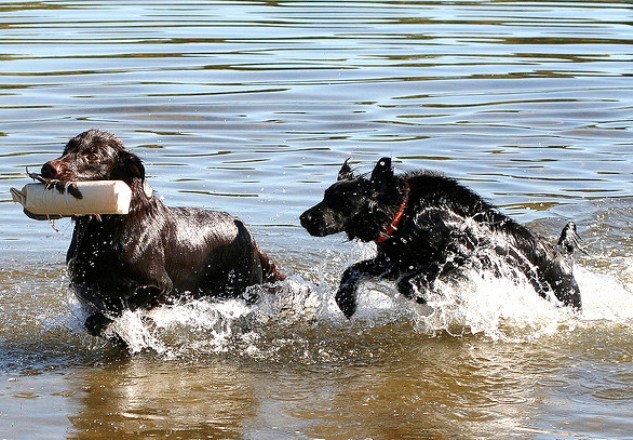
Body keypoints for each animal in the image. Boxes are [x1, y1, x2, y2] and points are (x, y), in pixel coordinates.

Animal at [31, 130, 284, 336]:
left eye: (93, 156)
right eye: (68, 148)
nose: (47, 168)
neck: (107, 228)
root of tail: (250, 237)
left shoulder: (160, 286)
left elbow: (123, 304)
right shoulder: (81, 278)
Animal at [300, 156, 584, 318]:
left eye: (341, 200)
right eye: (325, 195)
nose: (303, 218)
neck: (404, 213)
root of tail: (561, 253)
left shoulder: (462, 250)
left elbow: (410, 283)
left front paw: (429, 298)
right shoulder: (394, 262)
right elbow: (352, 271)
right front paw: (345, 302)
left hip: (564, 295)